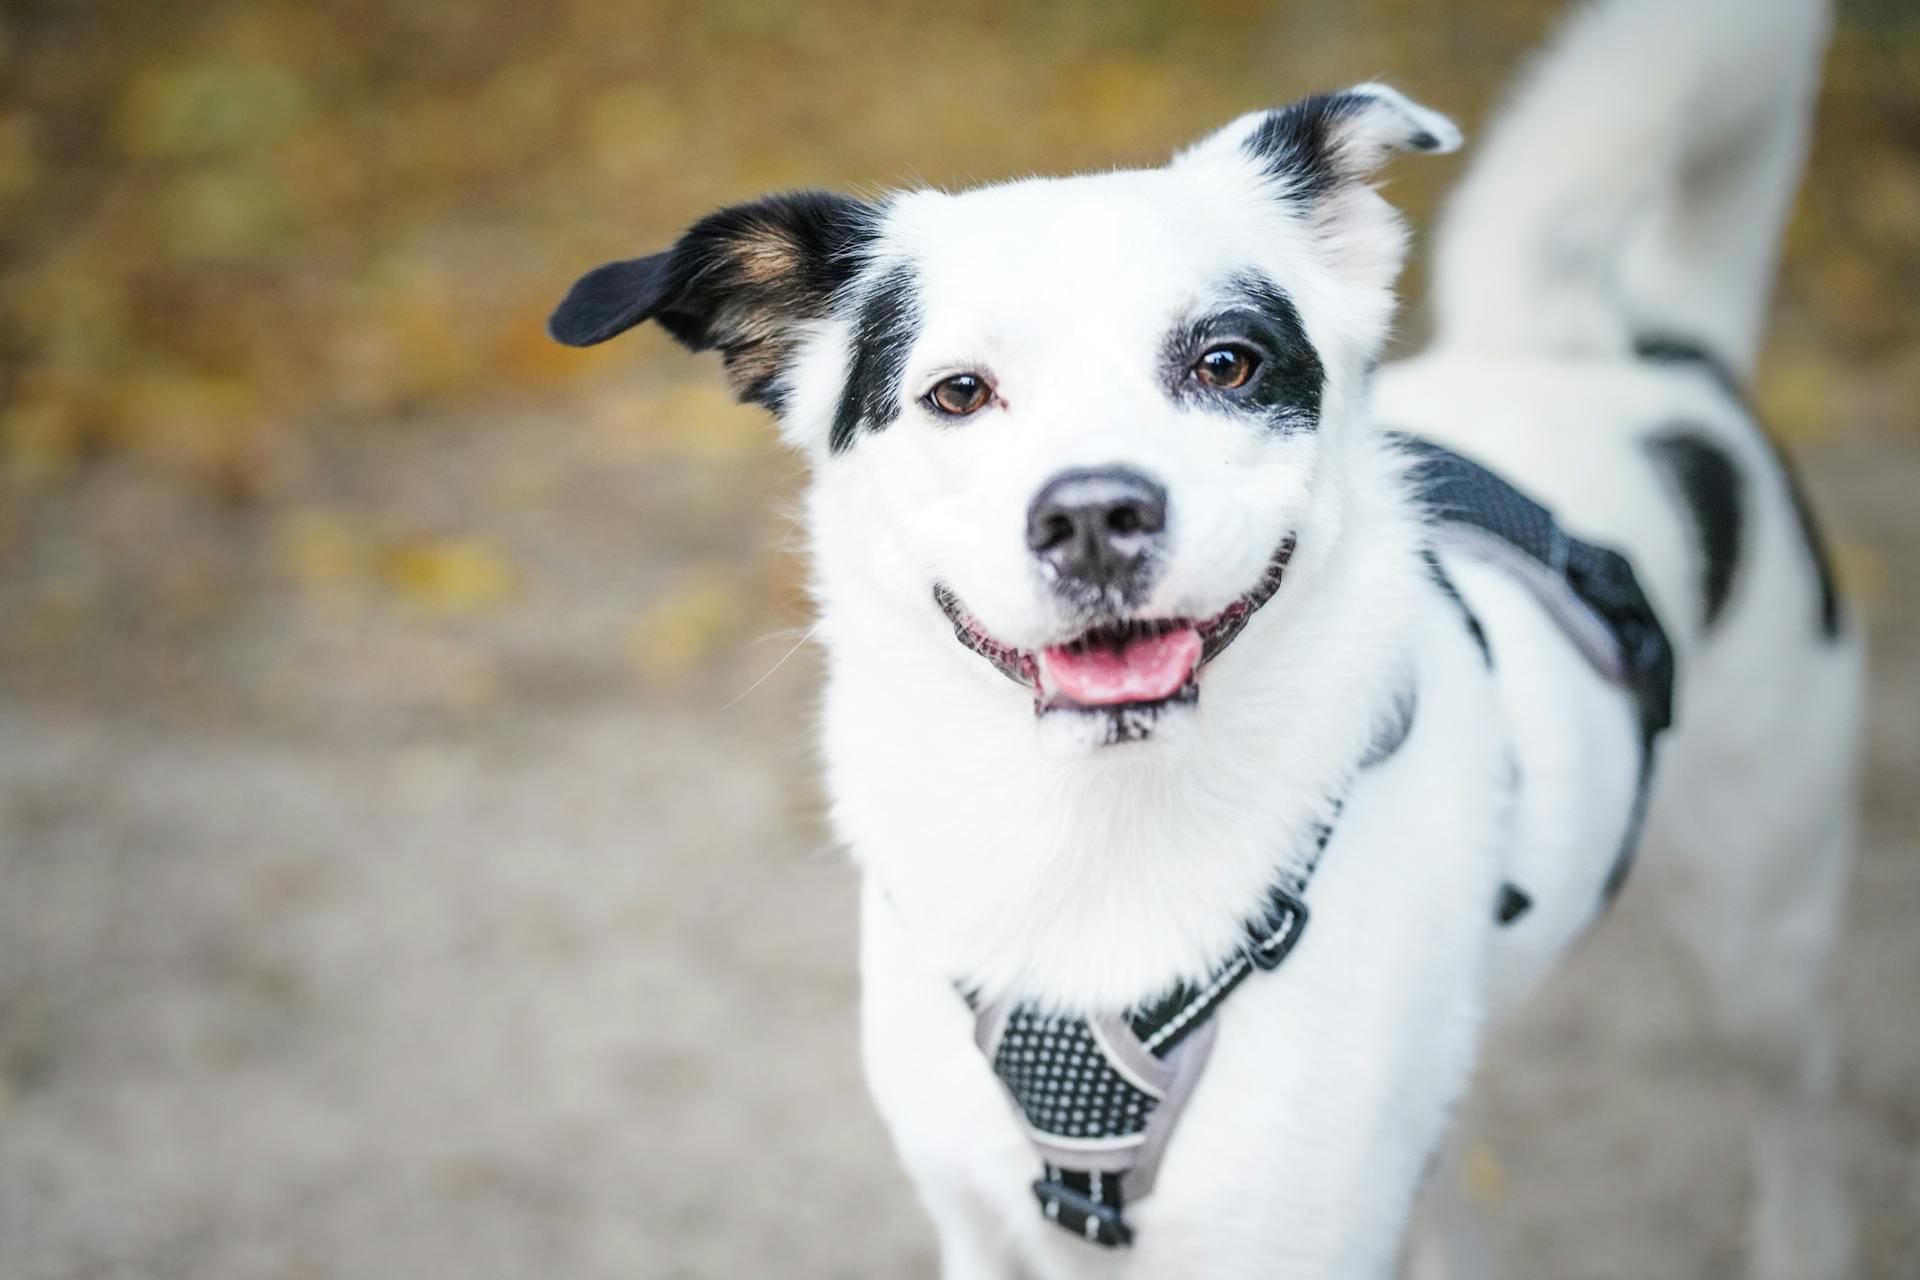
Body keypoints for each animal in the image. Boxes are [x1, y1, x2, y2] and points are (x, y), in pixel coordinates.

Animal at [545, 2, 1858, 1274]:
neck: (1097, 839)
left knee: (1797, 1107)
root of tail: (1630, 352)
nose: (1093, 516)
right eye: (959, 392)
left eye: (1227, 362)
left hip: (1760, 935)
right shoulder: (982, 1222)